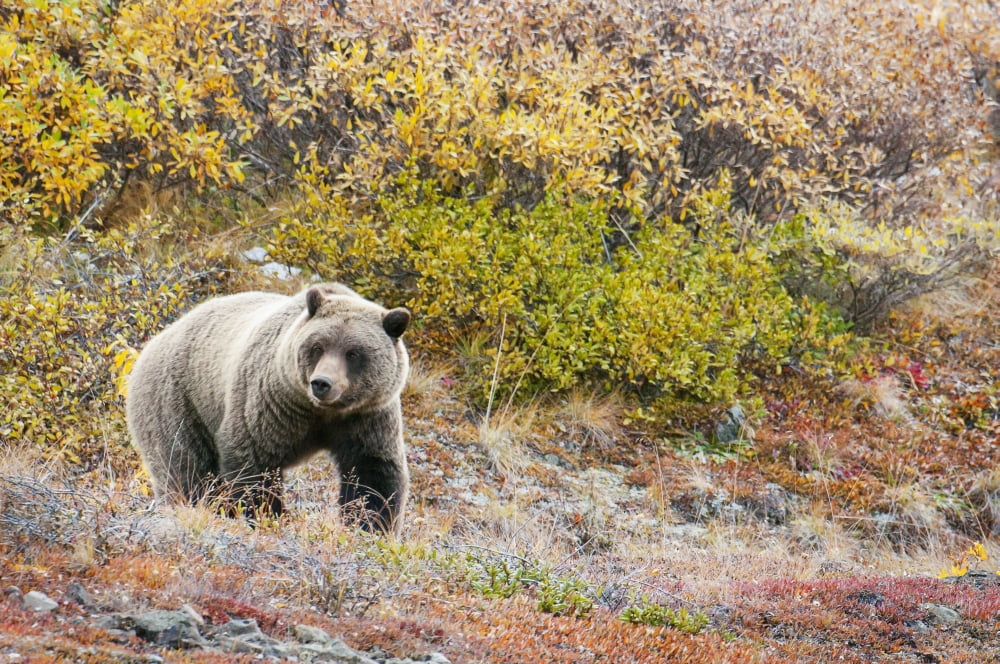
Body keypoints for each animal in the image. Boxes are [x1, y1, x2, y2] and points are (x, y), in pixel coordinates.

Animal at [125, 282, 411, 535]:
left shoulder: (366, 416)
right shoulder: (270, 402)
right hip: (178, 400)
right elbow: (253, 462)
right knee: (186, 468)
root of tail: (153, 342)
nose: (321, 383)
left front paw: (371, 526)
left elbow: (372, 473)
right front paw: (268, 515)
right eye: (317, 347)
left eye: (353, 353)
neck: (320, 412)